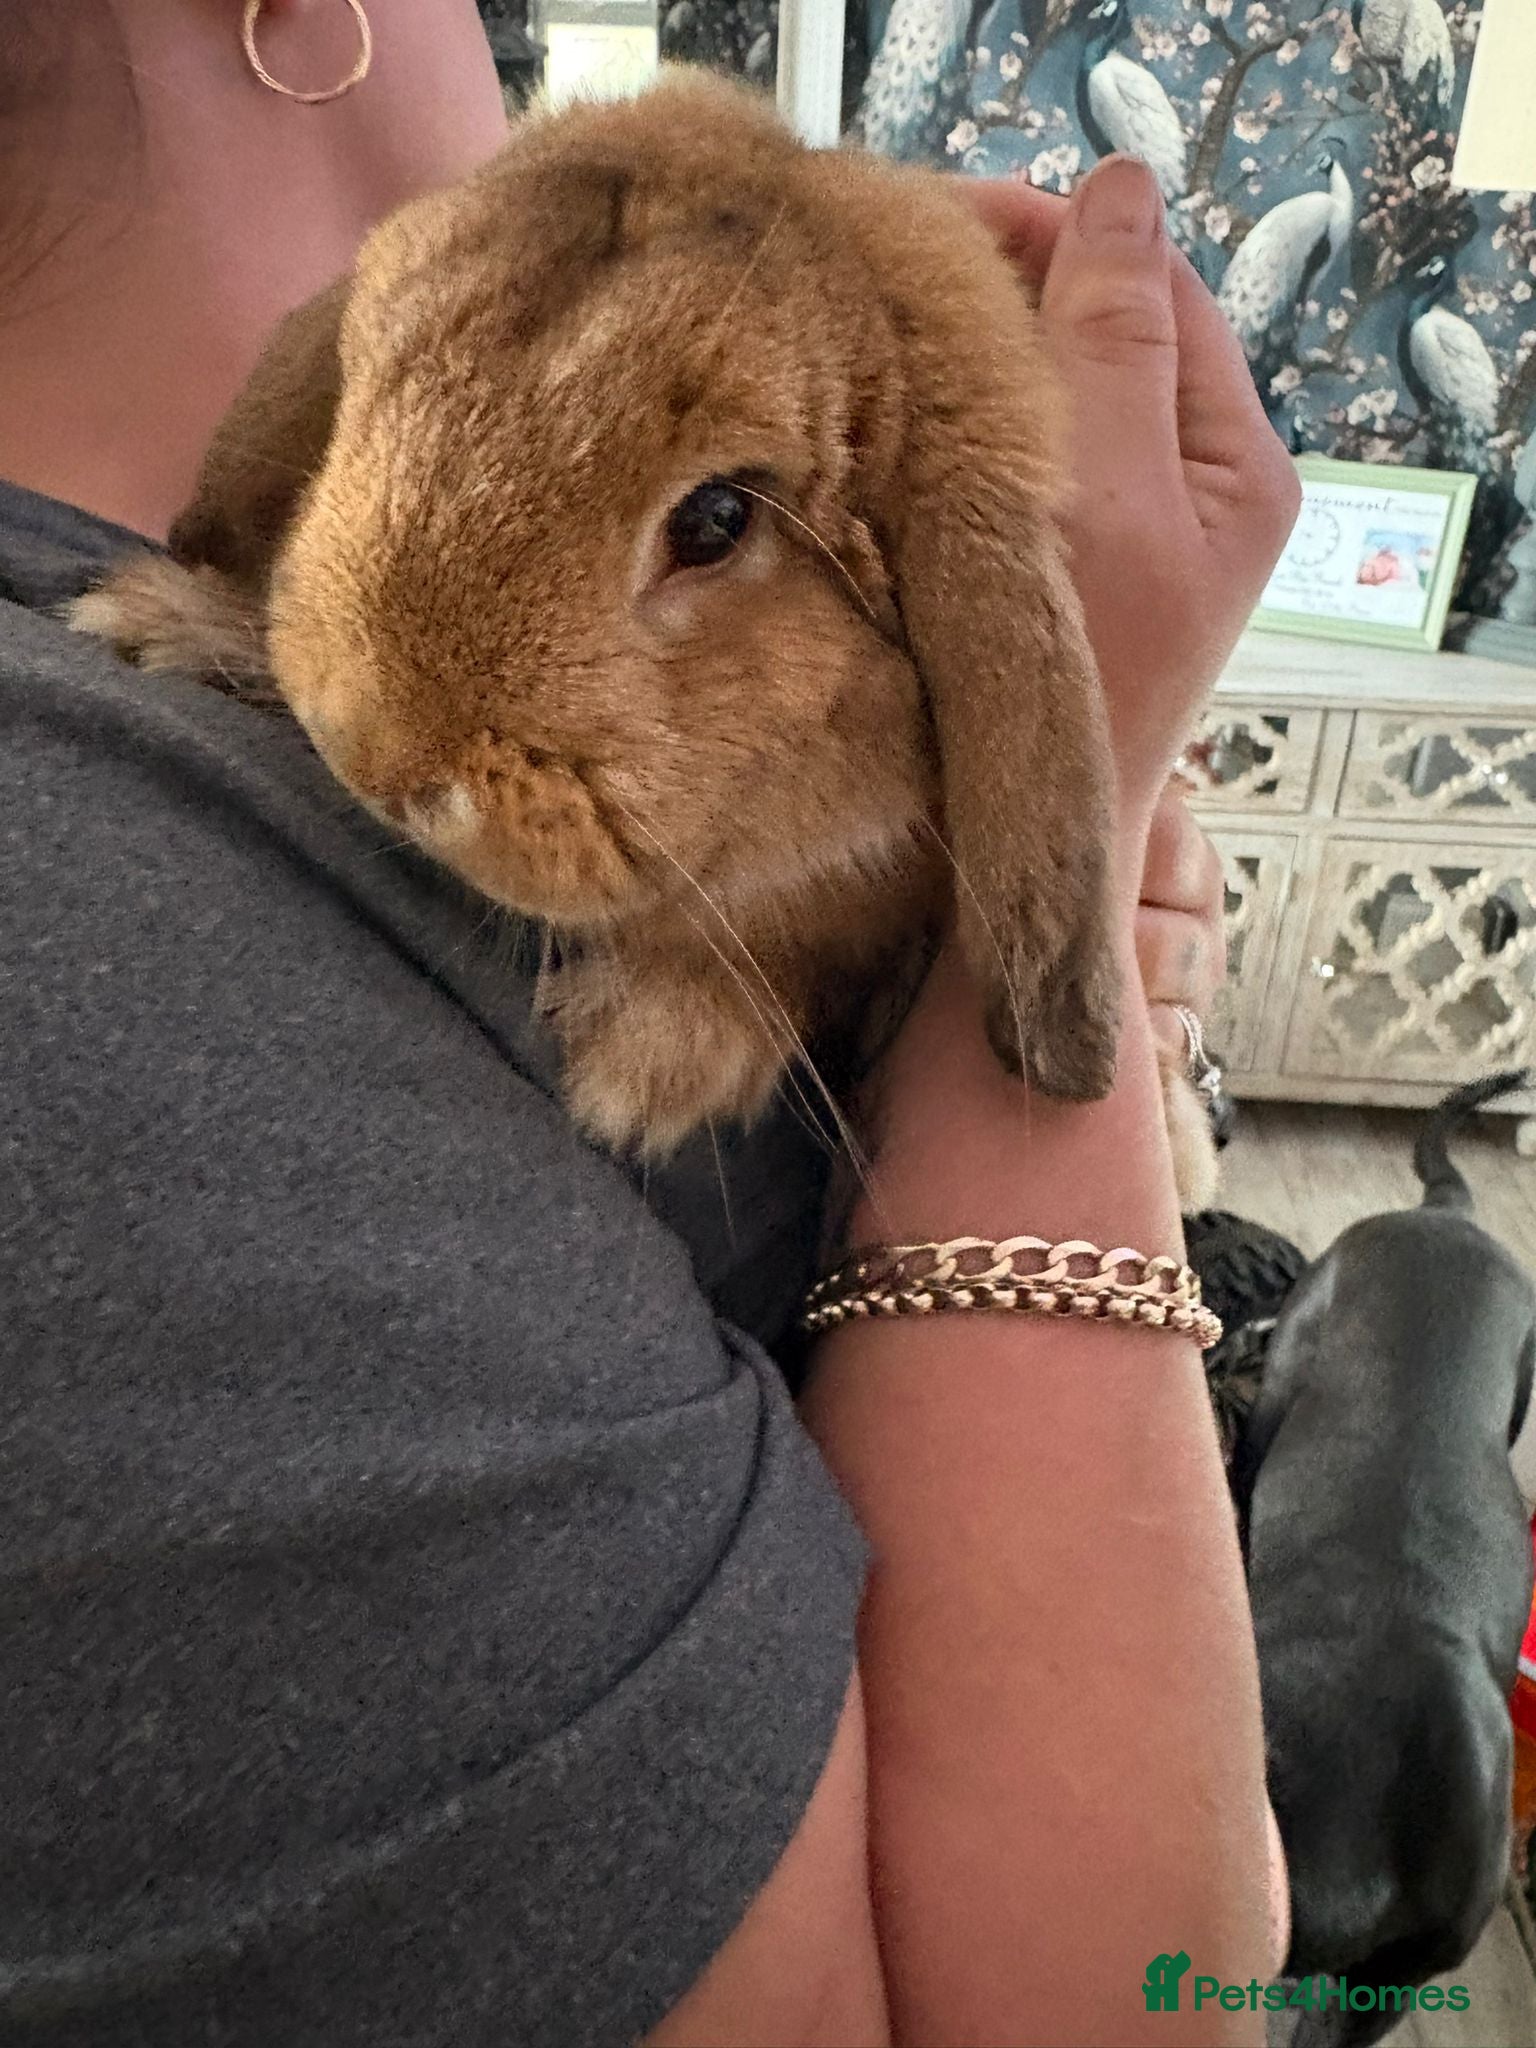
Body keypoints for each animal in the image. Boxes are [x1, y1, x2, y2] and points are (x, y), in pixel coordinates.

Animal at [72, 69, 1218, 1204]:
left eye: (715, 519)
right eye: (366, 376)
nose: (377, 753)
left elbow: (787, 955)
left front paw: (643, 1062)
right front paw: (166, 624)